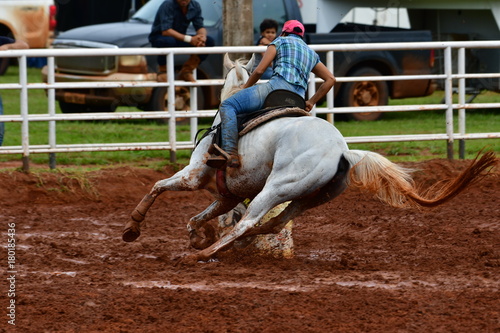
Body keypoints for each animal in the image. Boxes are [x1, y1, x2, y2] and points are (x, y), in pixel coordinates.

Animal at [123, 53, 498, 264]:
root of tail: (343, 150)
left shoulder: (193, 176)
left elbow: (158, 186)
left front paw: (133, 228)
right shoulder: (225, 195)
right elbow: (197, 217)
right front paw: (197, 235)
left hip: (276, 187)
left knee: (250, 221)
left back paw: (203, 254)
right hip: (310, 196)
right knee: (273, 223)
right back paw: (228, 246)